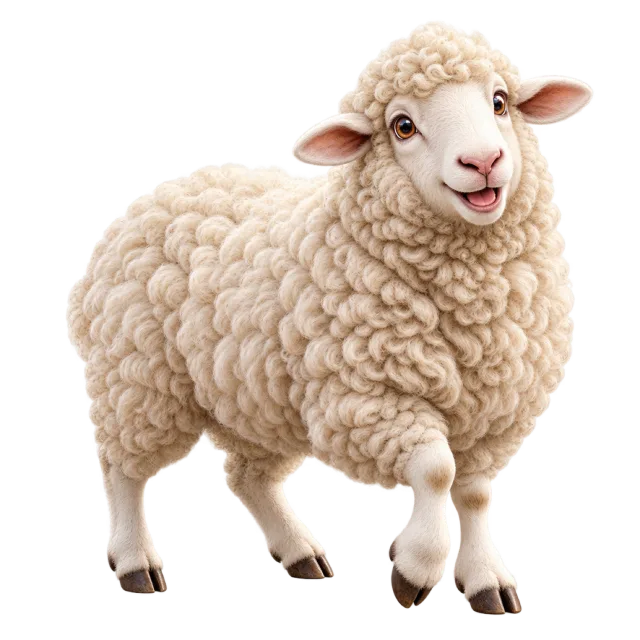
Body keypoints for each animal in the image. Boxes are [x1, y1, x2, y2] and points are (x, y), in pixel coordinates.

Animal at [64, 20, 592, 613]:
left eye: (499, 101)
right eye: (402, 126)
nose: (482, 162)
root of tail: (147, 197)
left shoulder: (495, 414)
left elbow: (475, 493)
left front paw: (486, 581)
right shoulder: (366, 400)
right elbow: (436, 471)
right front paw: (414, 567)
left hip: (255, 397)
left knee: (247, 476)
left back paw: (301, 554)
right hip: (137, 381)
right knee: (122, 472)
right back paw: (136, 564)